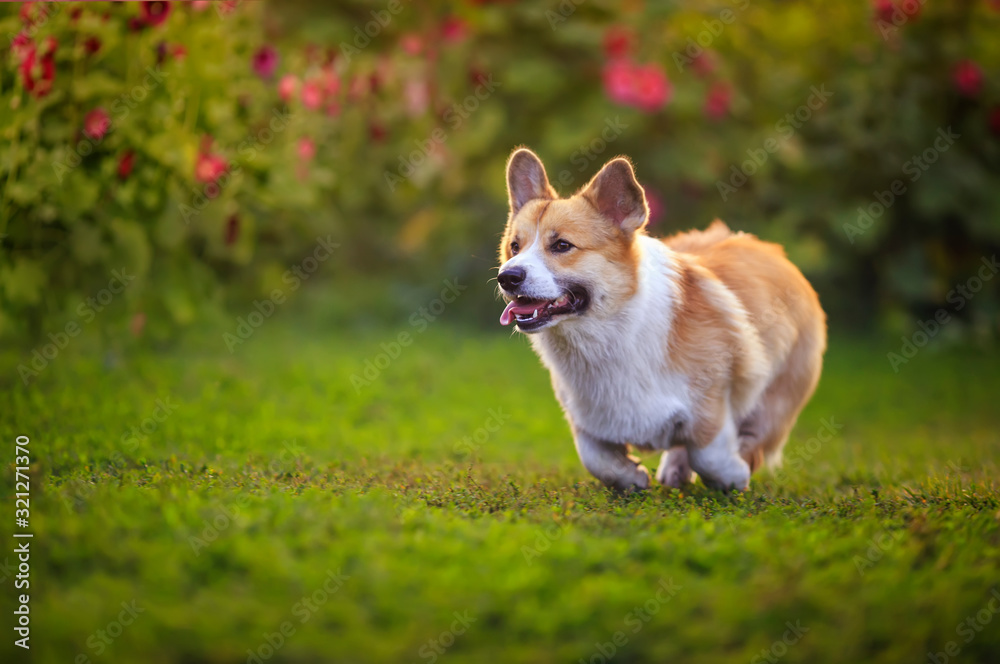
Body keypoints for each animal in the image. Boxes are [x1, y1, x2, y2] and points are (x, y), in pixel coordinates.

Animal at [496, 150, 824, 492]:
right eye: (515, 247)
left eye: (562, 245)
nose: (507, 276)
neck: (608, 335)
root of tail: (769, 248)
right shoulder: (585, 418)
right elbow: (596, 459)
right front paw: (632, 476)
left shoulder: (711, 401)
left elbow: (708, 452)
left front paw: (733, 475)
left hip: (778, 396)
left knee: (754, 433)